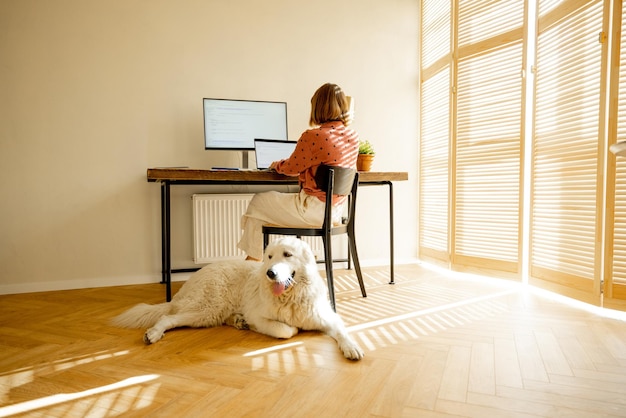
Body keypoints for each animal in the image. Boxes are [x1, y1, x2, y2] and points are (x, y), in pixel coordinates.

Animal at [113, 237, 360, 360]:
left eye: (287, 255)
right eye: (269, 256)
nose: (270, 273)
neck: (290, 296)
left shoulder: (327, 316)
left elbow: (342, 331)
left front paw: (352, 347)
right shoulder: (259, 316)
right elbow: (286, 330)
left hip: (210, 313)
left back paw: (237, 321)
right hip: (206, 309)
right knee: (168, 318)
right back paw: (153, 334)